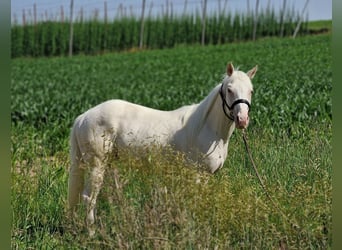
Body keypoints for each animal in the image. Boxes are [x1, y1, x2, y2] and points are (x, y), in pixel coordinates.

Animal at [68, 62, 256, 234]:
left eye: (251, 91)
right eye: (229, 90)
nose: (242, 120)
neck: (206, 127)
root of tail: (83, 117)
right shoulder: (197, 174)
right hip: (96, 165)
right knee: (88, 198)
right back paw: (91, 232)